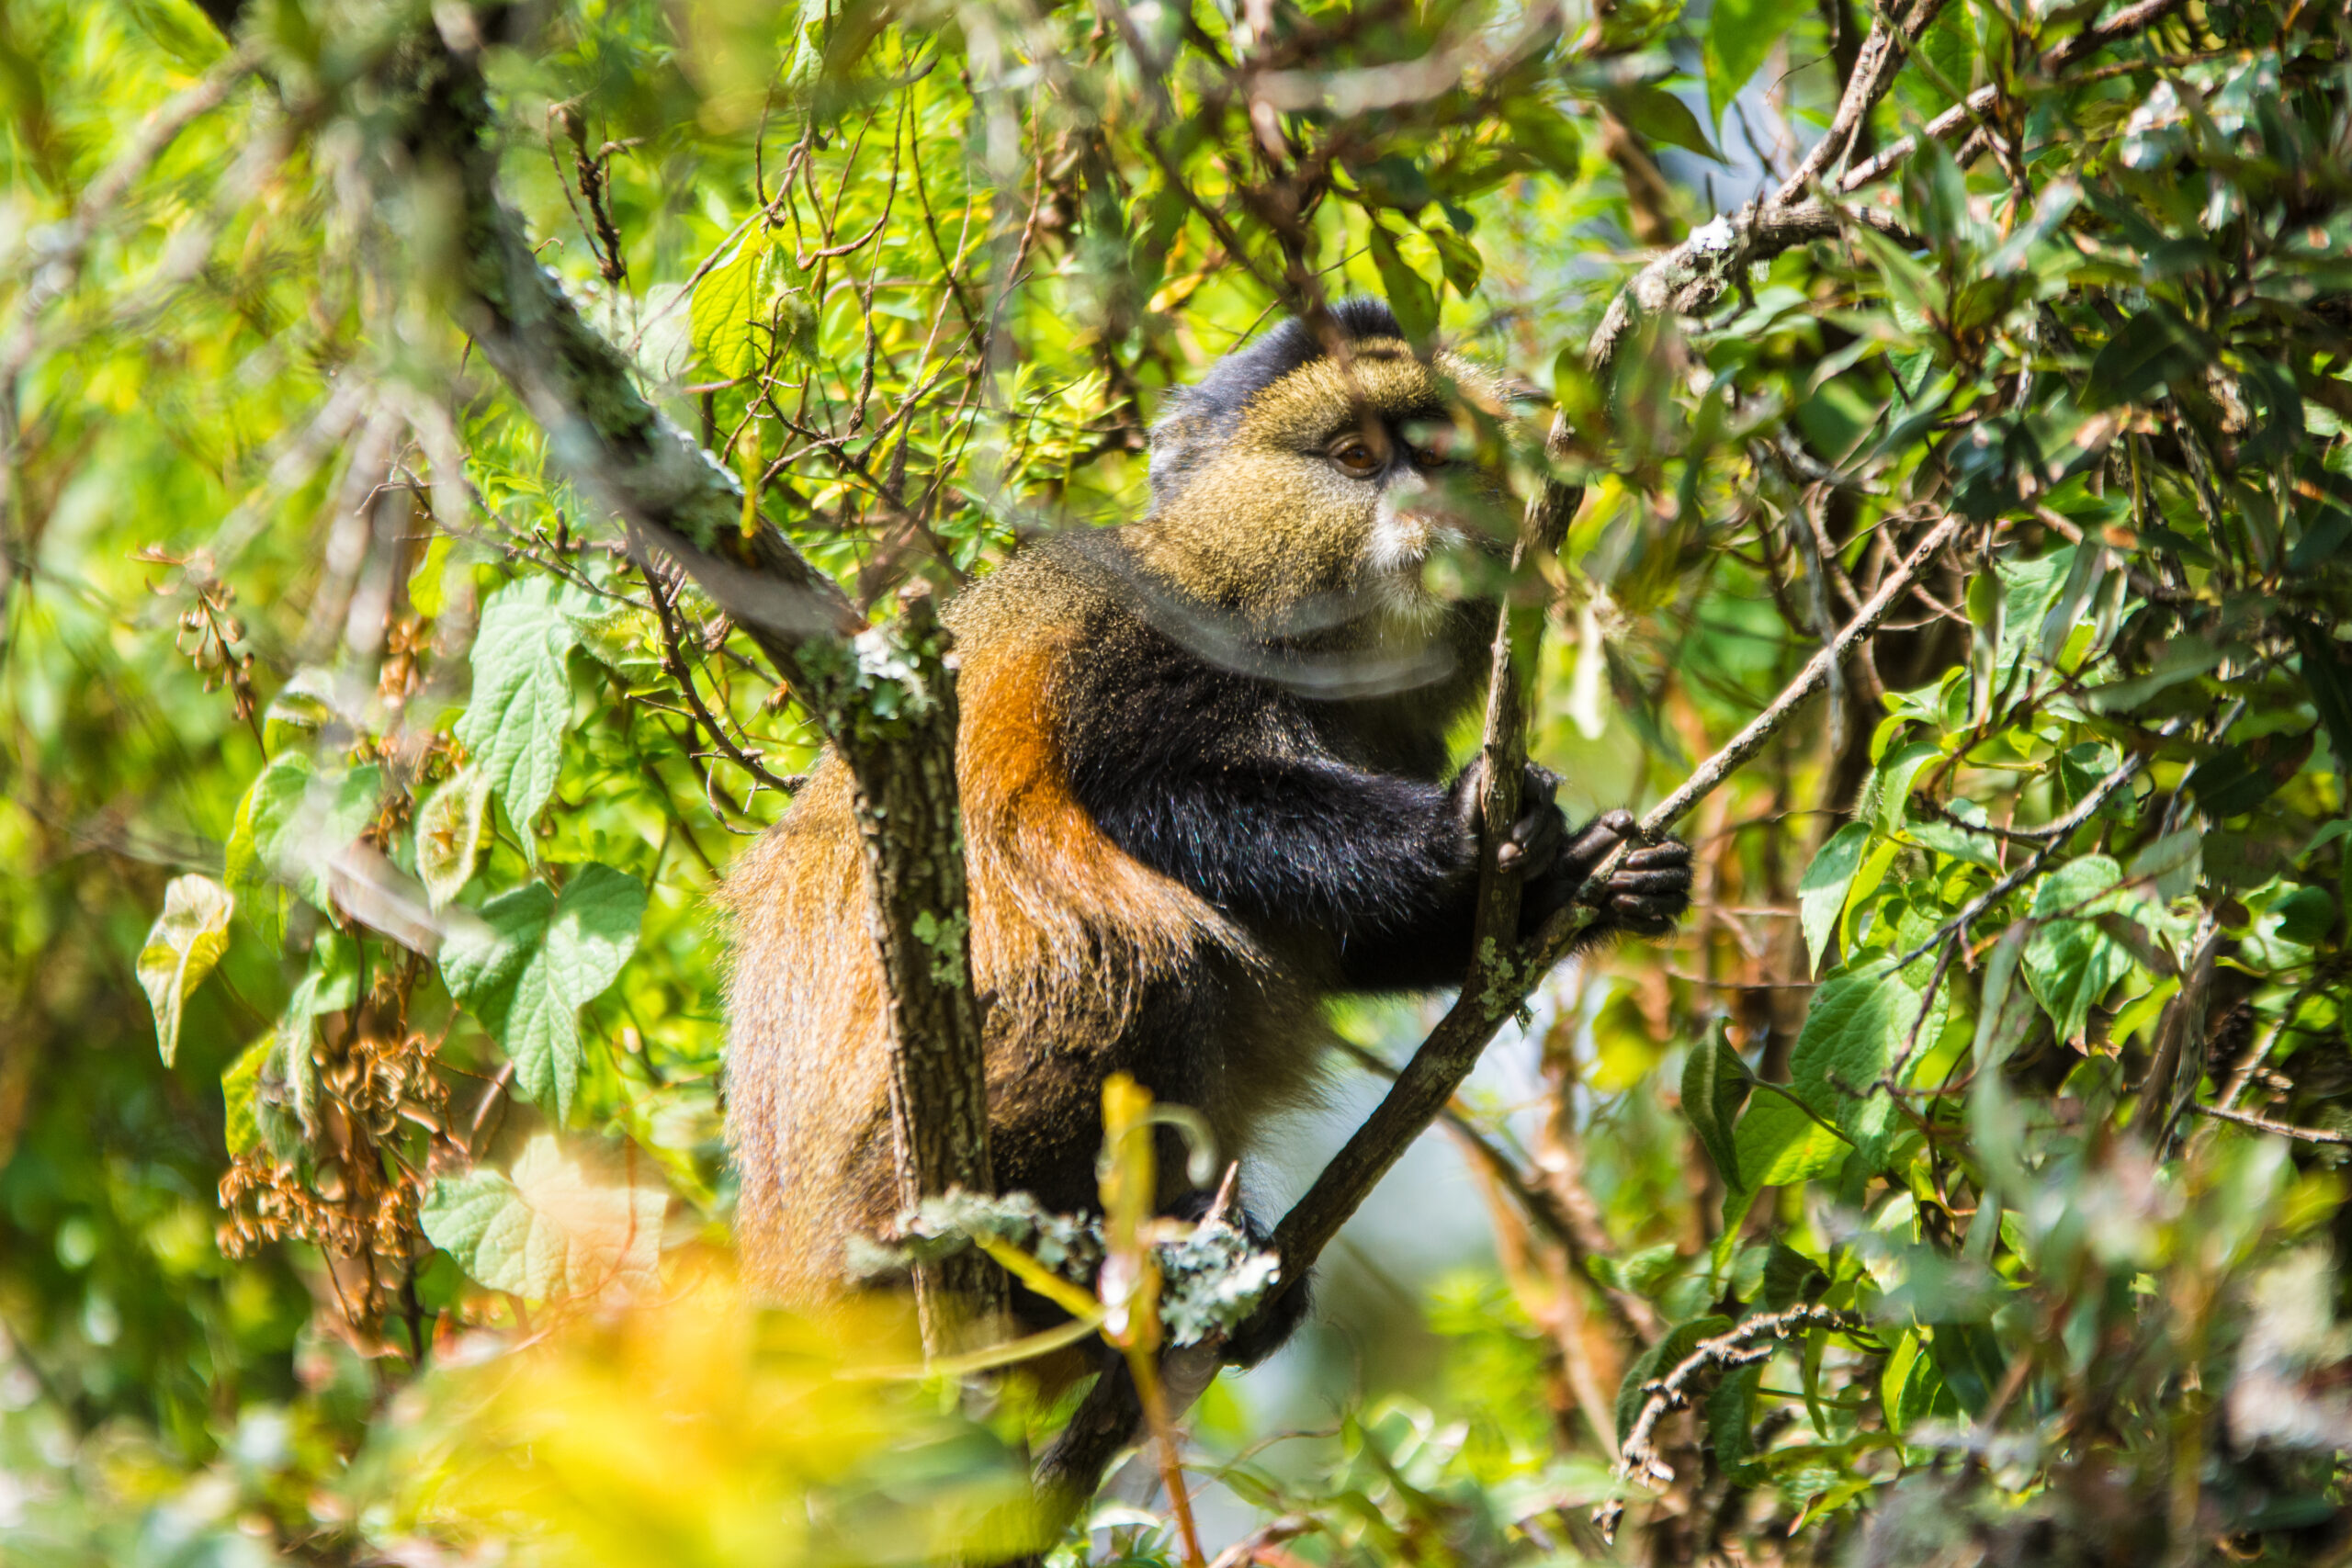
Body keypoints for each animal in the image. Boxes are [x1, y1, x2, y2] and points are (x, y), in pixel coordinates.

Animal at [722, 298, 1692, 1366]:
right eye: (1356, 458)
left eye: (1435, 453)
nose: (1424, 505)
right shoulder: (1144, 638)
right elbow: (1153, 793)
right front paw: (1458, 828)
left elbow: (1341, 939)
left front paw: (1588, 875)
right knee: (1149, 965)